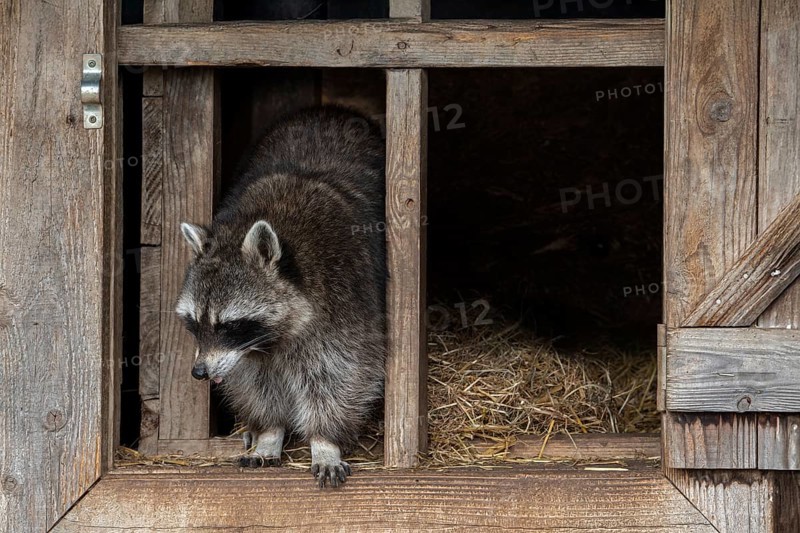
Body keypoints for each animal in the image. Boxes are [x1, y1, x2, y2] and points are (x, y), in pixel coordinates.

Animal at [175, 107, 386, 488]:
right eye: (195, 323)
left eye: (228, 325)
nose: (199, 372)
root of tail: (329, 111)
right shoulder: (244, 354)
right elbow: (255, 383)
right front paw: (269, 433)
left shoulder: (344, 302)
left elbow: (342, 374)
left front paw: (325, 441)